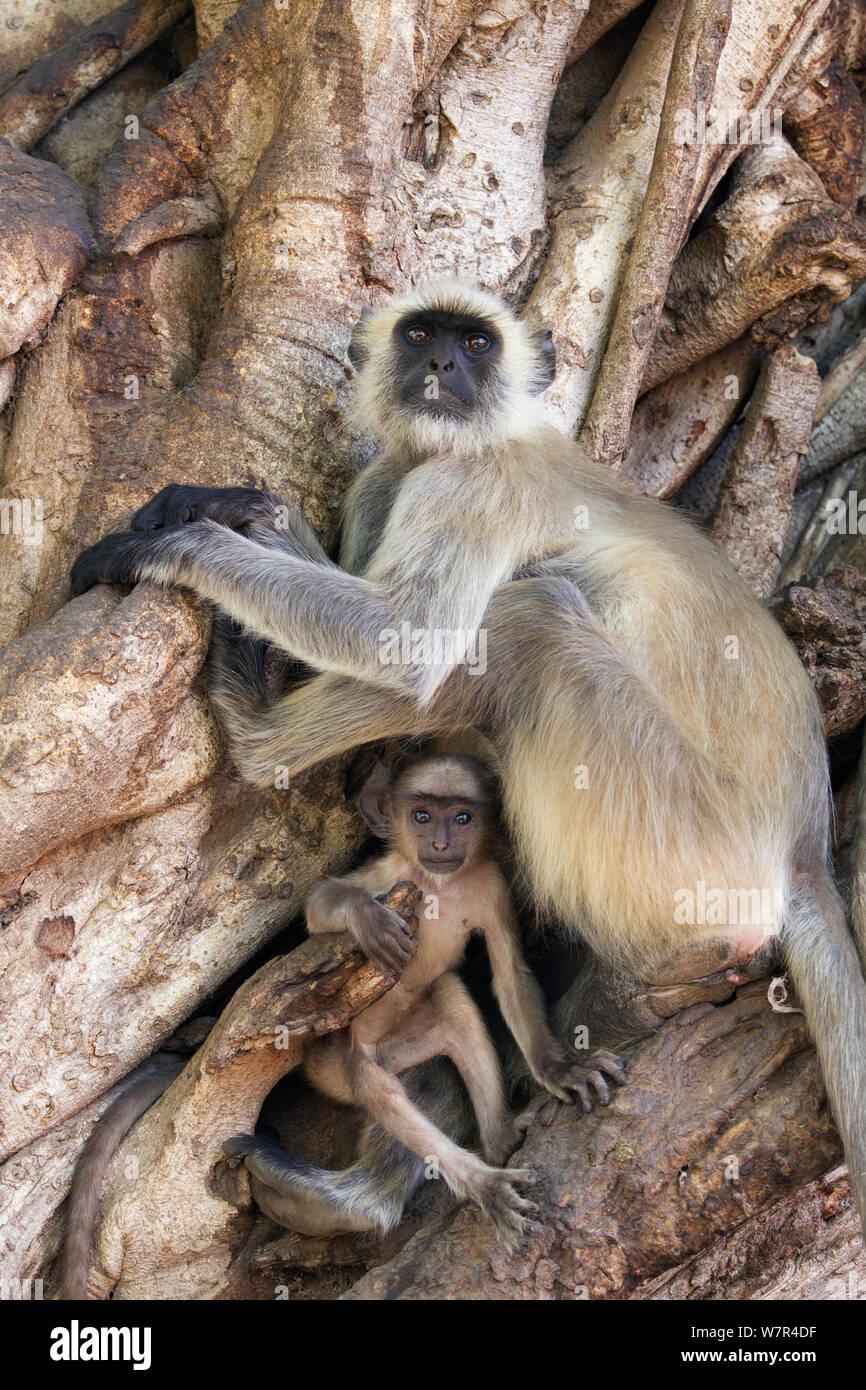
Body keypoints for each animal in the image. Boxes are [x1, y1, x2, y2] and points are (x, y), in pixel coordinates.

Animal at [226, 761, 625, 1251]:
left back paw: (499, 1143)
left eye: (462, 818)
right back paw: (479, 1184)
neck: (439, 884)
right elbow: (318, 904)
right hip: (334, 1061)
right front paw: (365, 915)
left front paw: (560, 1070)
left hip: (408, 1045)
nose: (439, 844)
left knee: (452, 997)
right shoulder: (390, 874)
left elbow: (510, 975)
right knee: (371, 1082)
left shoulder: (492, 883)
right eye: (421, 816)